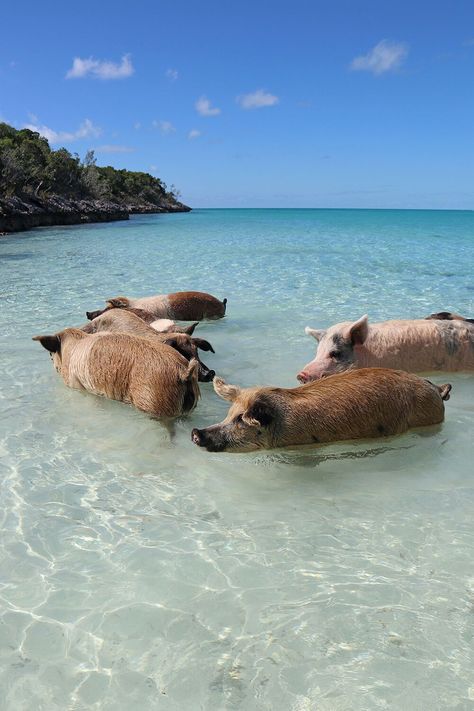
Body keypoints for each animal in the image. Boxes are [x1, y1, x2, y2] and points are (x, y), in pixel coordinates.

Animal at [32, 330, 200, 420]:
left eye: (51, 353)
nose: (50, 360)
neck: (71, 351)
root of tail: (182, 371)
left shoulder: (78, 385)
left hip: (153, 401)